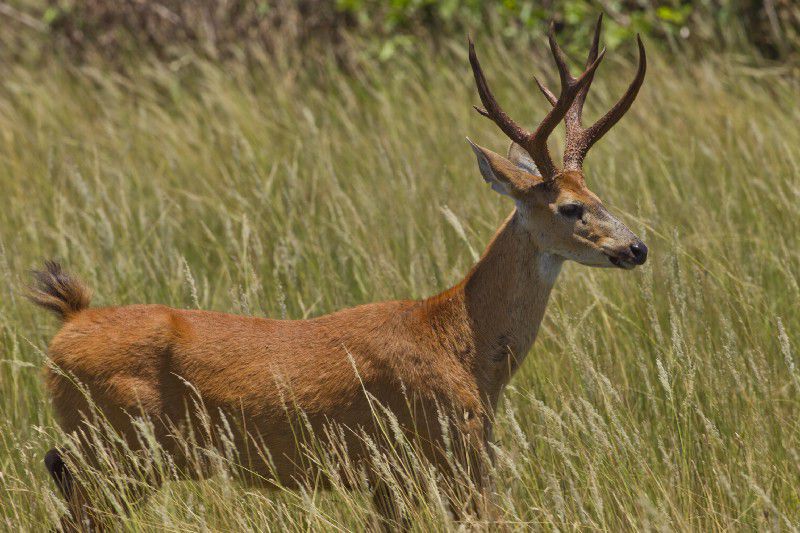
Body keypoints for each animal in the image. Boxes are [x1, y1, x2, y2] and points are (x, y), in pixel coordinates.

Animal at [30, 15, 646, 532]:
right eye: (570, 208)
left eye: (599, 193)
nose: (637, 247)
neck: (462, 340)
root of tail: (68, 323)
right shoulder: (453, 455)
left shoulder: (391, 477)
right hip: (118, 450)